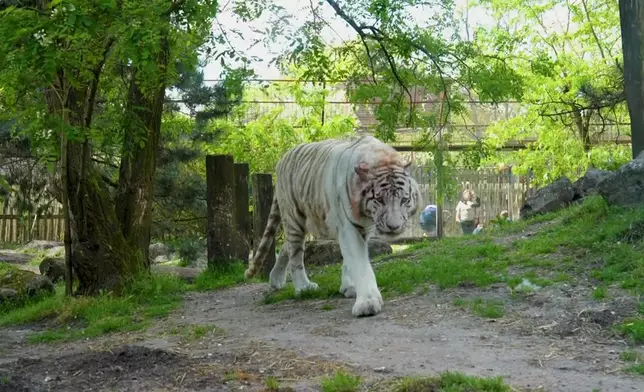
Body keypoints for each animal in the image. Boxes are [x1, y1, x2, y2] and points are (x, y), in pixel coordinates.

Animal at [243, 136, 422, 316]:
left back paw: (276, 279)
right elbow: (360, 264)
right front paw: (367, 302)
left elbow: (350, 262)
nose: (394, 226)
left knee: (286, 247)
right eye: (379, 200)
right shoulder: (349, 227)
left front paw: (349, 287)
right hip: (294, 218)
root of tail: (282, 159)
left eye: (404, 200)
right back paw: (303, 287)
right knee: (295, 255)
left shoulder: (363, 229)